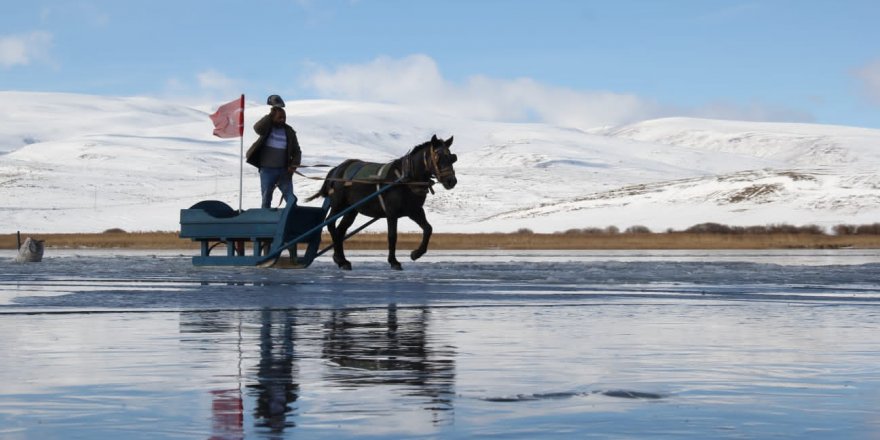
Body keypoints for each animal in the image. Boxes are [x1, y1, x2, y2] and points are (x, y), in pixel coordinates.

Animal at [306, 136, 458, 270]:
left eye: (452, 158)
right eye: (438, 157)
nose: (451, 181)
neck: (406, 179)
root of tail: (336, 169)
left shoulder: (414, 210)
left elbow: (428, 229)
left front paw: (416, 253)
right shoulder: (392, 212)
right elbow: (392, 236)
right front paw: (394, 261)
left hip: (351, 210)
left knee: (340, 230)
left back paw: (341, 259)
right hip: (339, 205)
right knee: (330, 224)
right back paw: (340, 259)